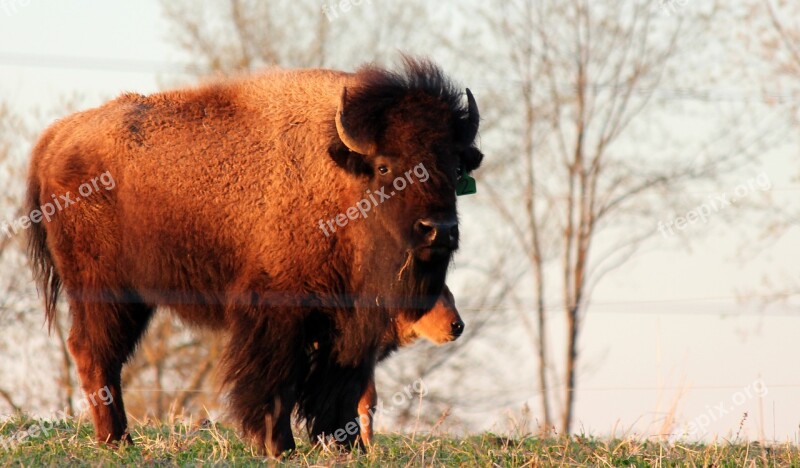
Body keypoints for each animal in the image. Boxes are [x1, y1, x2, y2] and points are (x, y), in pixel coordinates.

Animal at [28, 55, 482, 458]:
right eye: (386, 167)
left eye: (455, 166)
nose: (438, 230)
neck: (340, 179)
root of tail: (56, 138)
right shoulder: (277, 312)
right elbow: (275, 385)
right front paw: (279, 447)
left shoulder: (351, 324)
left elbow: (341, 389)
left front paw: (347, 447)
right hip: (103, 291)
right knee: (95, 355)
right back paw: (117, 441)